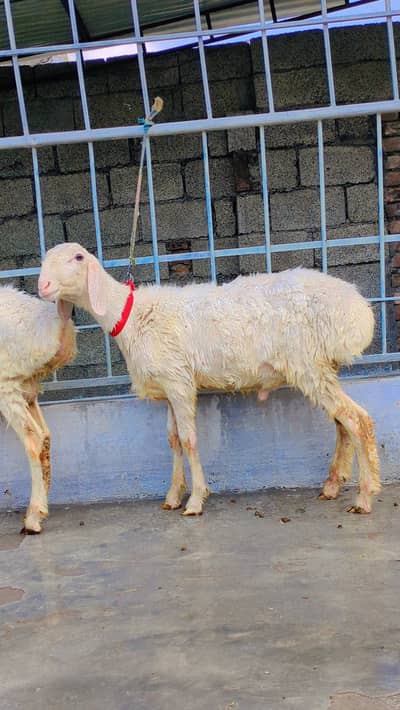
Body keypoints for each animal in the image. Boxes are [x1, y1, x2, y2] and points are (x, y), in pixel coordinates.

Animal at [39, 242, 381, 516]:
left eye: (78, 257)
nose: (43, 285)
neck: (131, 315)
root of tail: (358, 310)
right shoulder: (169, 383)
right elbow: (173, 440)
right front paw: (173, 496)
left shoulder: (179, 381)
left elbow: (189, 440)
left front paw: (195, 501)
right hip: (320, 366)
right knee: (342, 420)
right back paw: (332, 485)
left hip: (308, 363)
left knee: (357, 420)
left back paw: (364, 497)